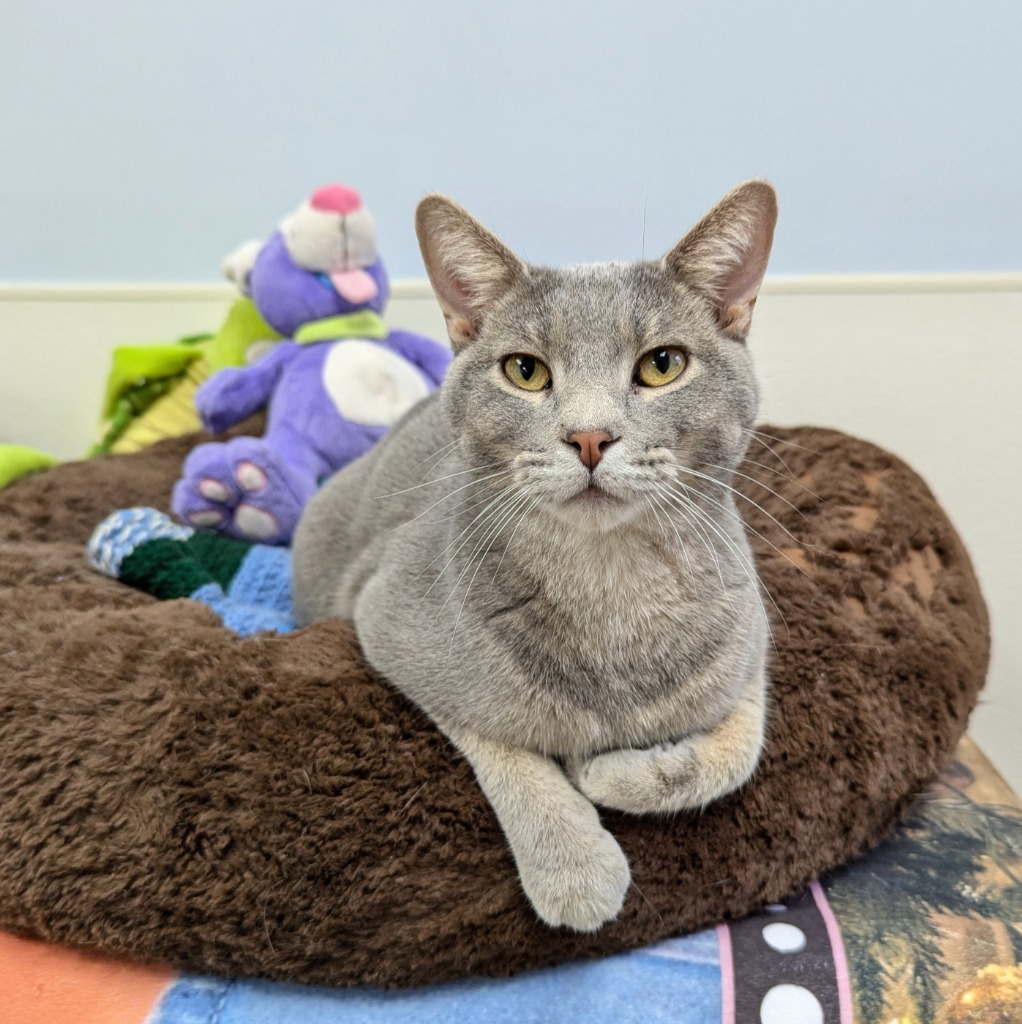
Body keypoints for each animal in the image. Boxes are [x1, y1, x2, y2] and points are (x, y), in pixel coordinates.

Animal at [292, 180, 778, 933]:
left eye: (662, 364)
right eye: (526, 371)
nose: (589, 437)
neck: (610, 586)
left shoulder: (750, 642)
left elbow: (738, 750)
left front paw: (615, 773)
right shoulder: (391, 624)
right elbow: (506, 740)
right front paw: (575, 861)